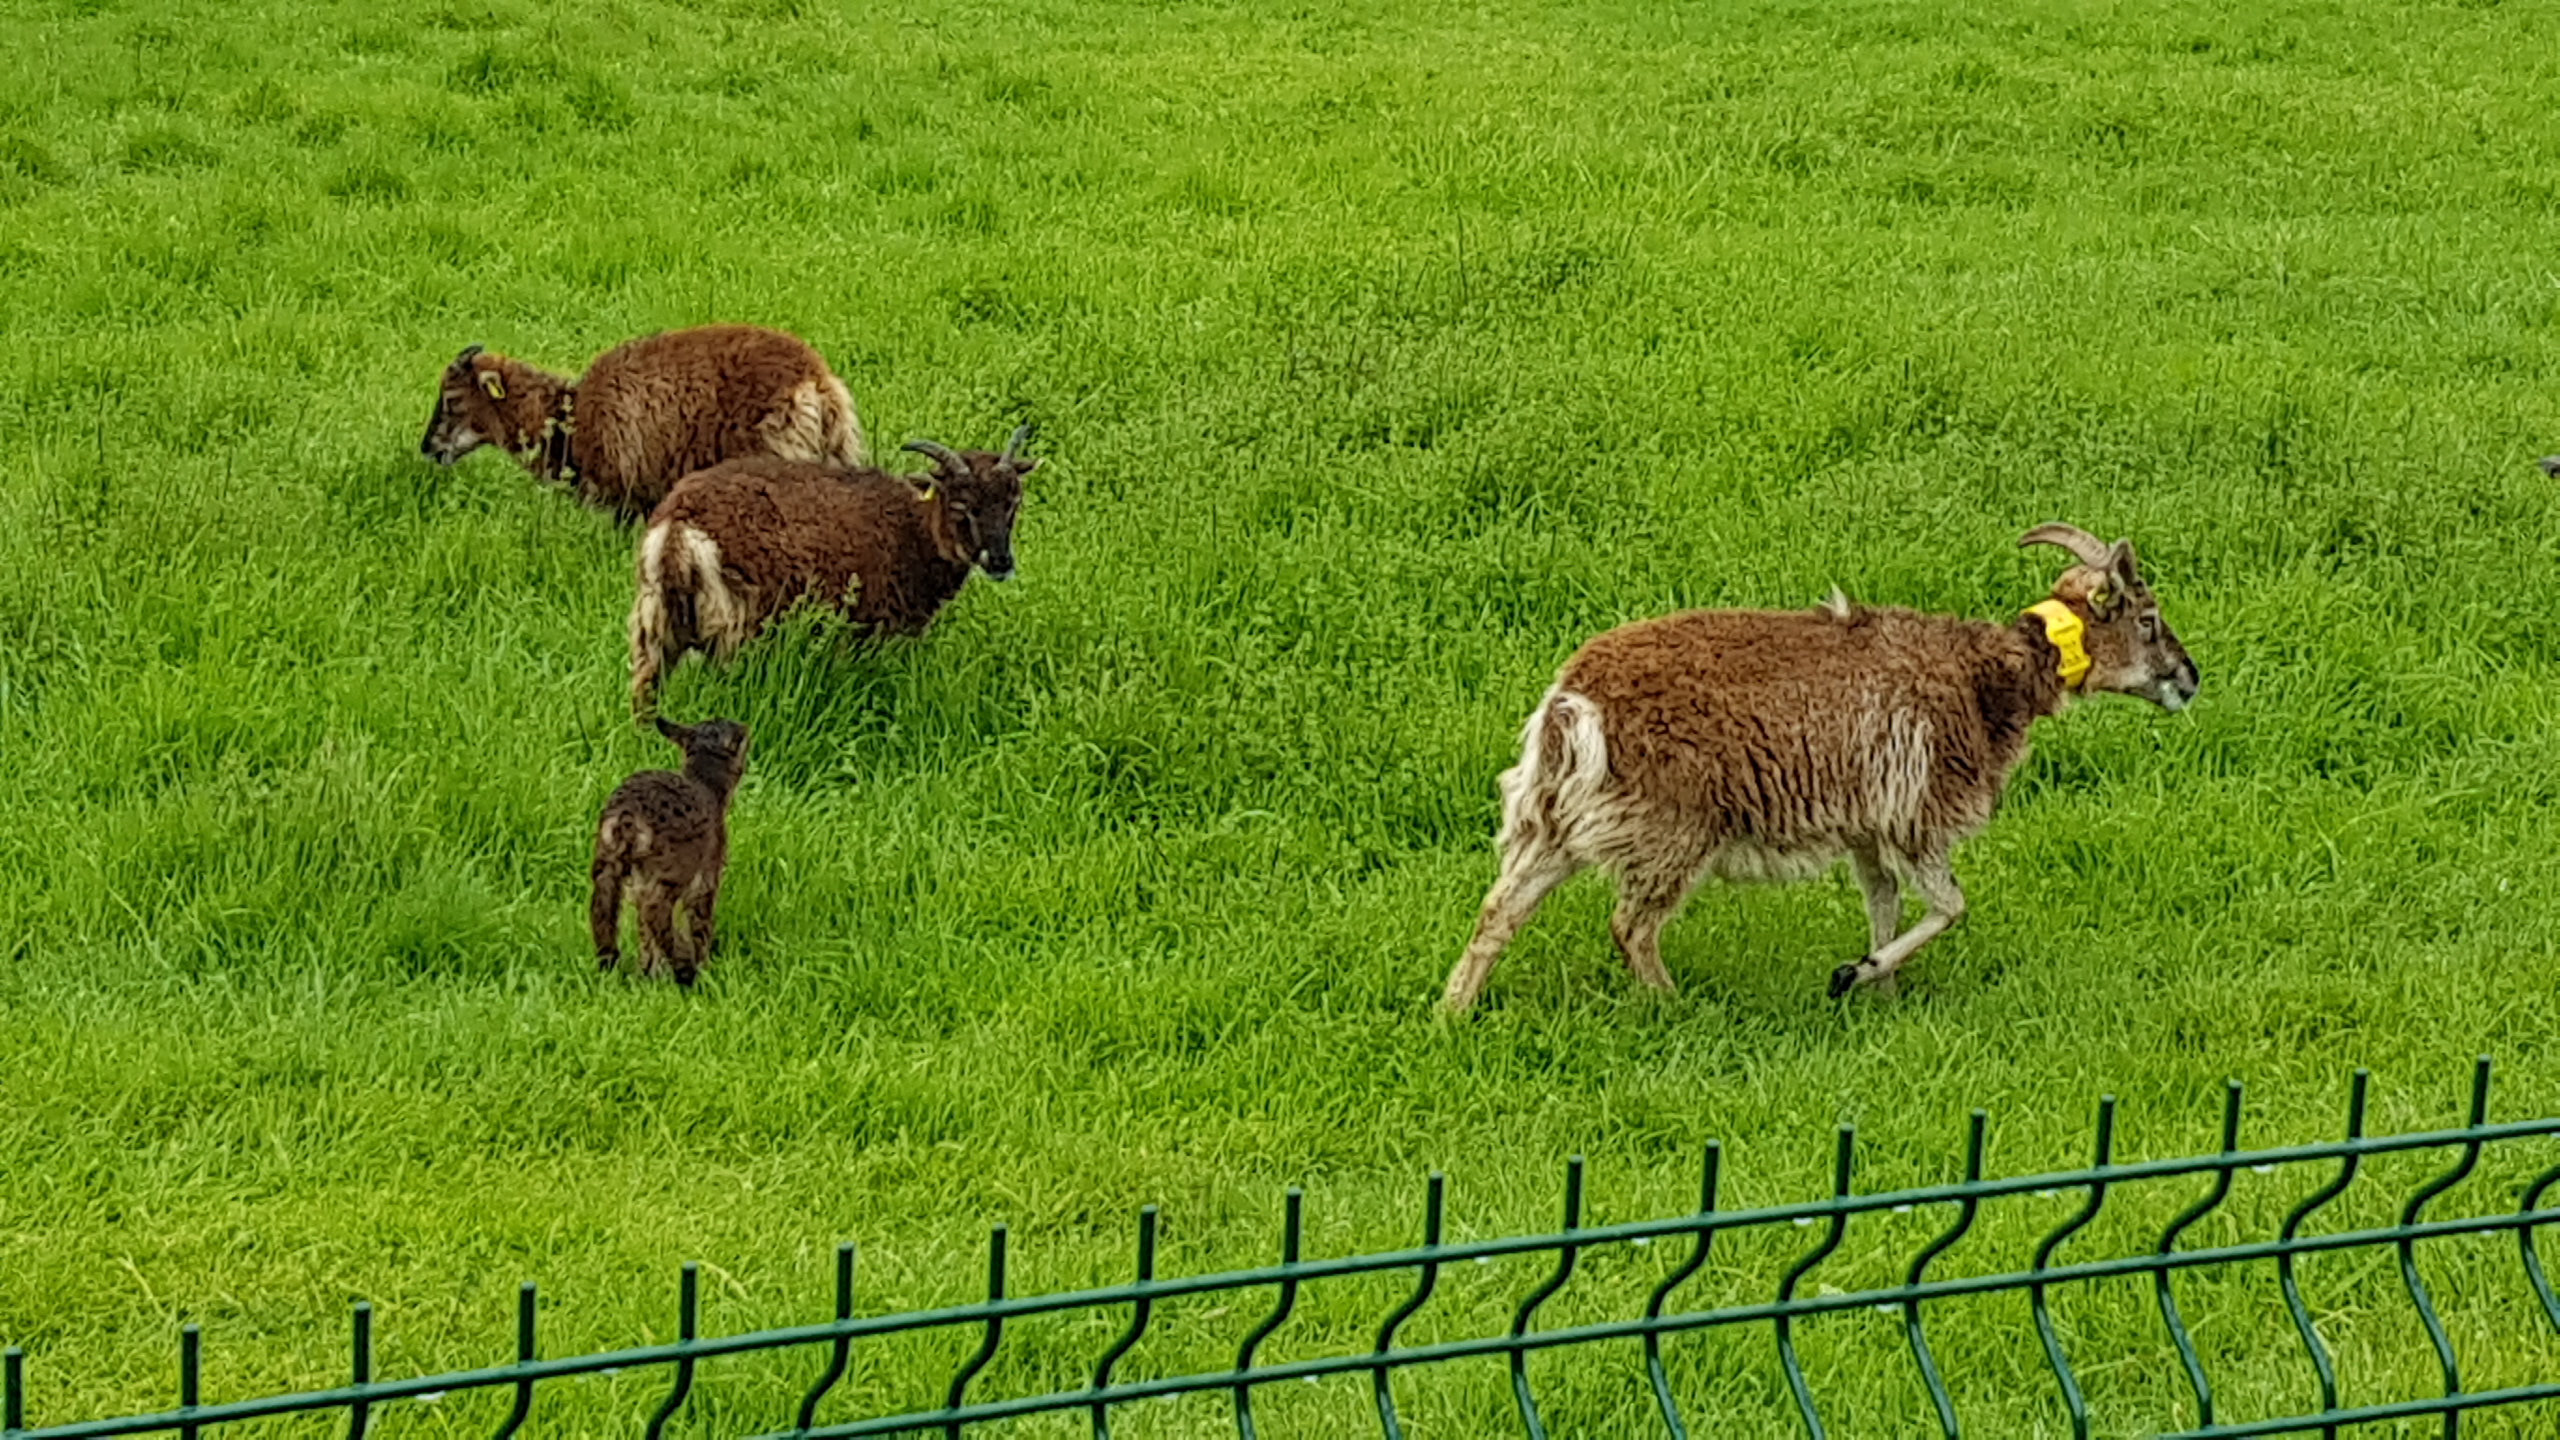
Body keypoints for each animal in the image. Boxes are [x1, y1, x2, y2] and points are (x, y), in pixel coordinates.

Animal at [583, 712, 742, 978]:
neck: (705, 784)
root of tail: (629, 810)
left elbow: (644, 935)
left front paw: (648, 973)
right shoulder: (707, 879)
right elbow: (701, 926)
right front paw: (706, 970)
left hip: (608, 861)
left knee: (604, 910)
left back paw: (611, 966)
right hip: (673, 871)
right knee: (655, 911)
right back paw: (685, 971)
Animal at [624, 425, 1034, 717]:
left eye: (1013, 501)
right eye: (961, 506)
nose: (1001, 561)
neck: (914, 533)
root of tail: (680, 527)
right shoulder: (869, 630)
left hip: (656, 624)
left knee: (645, 693)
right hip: (737, 627)